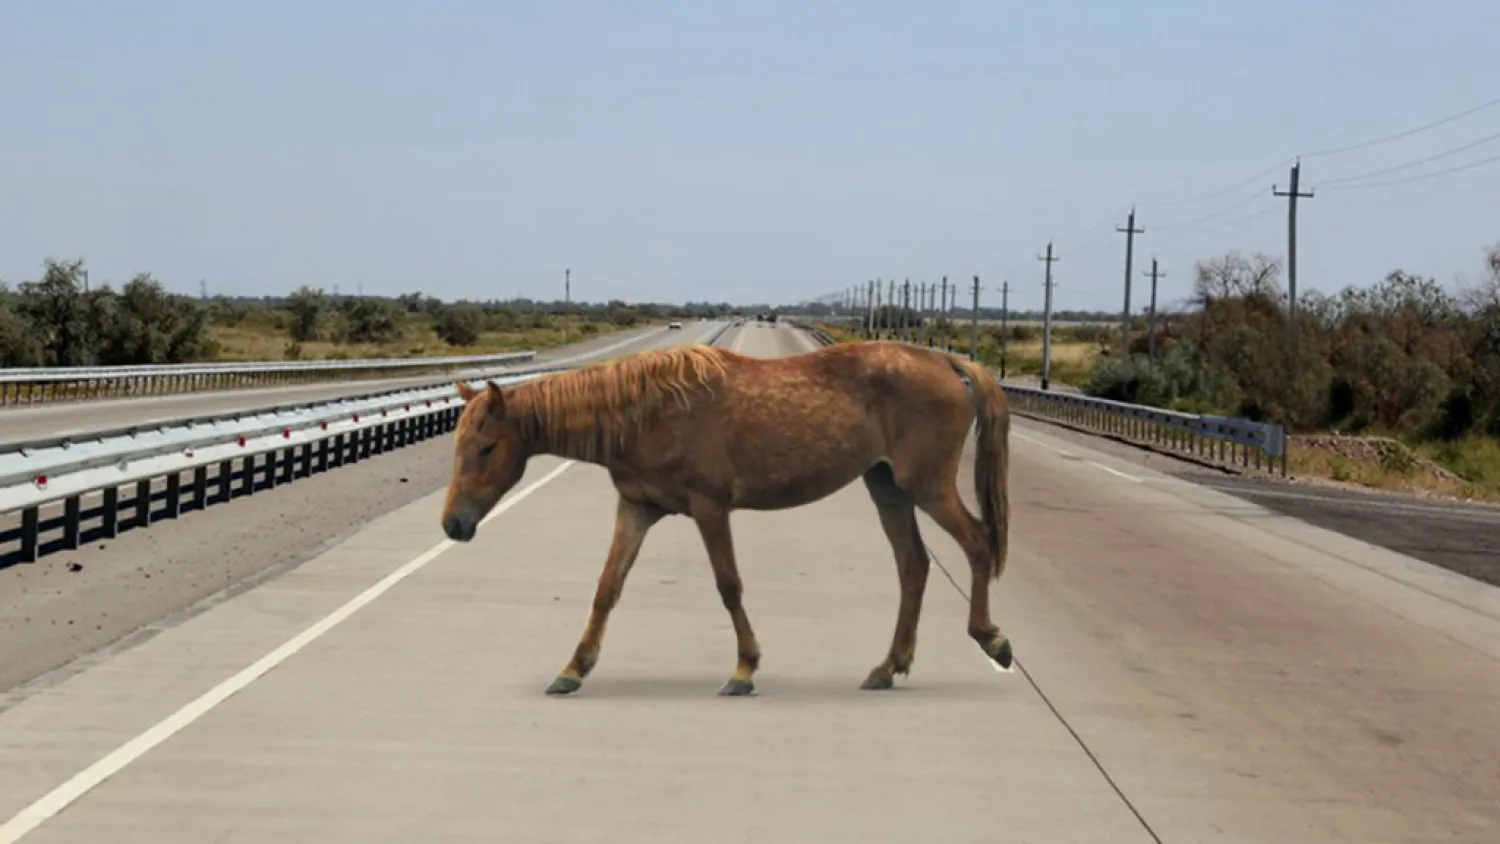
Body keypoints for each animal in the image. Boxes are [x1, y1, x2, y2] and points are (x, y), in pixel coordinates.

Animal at [438, 338, 1014, 701]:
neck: (645, 412)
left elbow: (728, 585)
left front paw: (743, 669)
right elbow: (607, 588)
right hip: (887, 486)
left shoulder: (710, 508)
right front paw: (572, 670)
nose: (453, 524)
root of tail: (947, 362)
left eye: (486, 448)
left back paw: (991, 639)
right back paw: (887, 666)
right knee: (913, 565)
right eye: (458, 445)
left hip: (927, 486)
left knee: (978, 543)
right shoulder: (637, 508)